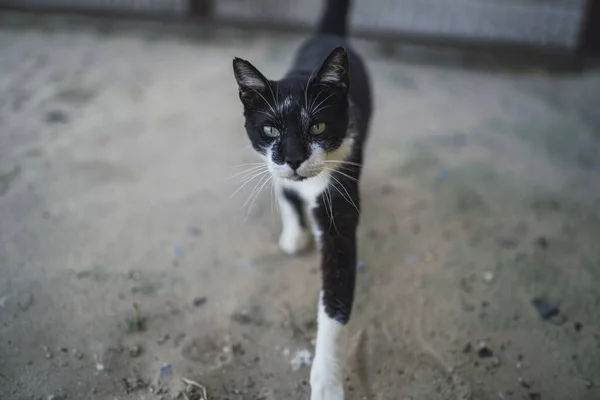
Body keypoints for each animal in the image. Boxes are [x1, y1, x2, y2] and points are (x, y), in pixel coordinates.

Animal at [232, 1, 372, 398]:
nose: (293, 158)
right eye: (269, 129)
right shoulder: (271, 163)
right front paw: (295, 233)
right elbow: (282, 188)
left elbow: (335, 303)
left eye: (318, 127)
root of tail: (330, 35)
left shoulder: (341, 201)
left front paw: (327, 382)